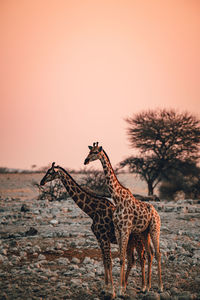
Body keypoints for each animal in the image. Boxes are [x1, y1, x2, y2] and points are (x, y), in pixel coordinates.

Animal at [39, 162, 148, 298]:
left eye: (50, 172)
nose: (42, 181)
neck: (92, 211)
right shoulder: (99, 238)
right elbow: (104, 261)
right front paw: (106, 289)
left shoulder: (104, 237)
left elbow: (109, 261)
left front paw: (112, 292)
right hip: (130, 242)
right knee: (132, 260)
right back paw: (125, 287)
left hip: (138, 241)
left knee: (142, 259)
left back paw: (142, 288)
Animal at [83, 143, 163, 296]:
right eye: (89, 151)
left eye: (95, 152)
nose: (86, 161)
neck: (118, 199)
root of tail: (156, 213)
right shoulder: (118, 229)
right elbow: (121, 258)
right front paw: (120, 288)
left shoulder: (125, 229)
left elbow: (122, 258)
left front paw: (120, 289)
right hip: (144, 232)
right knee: (149, 254)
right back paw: (147, 287)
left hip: (155, 229)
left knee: (157, 253)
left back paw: (160, 287)